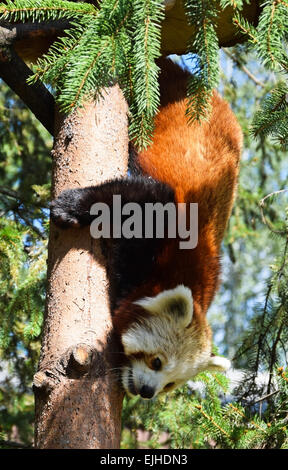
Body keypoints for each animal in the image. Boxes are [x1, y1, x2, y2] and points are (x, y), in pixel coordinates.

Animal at [50, 57, 242, 398]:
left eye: (171, 384)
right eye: (156, 361)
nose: (148, 392)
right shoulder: (167, 218)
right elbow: (131, 196)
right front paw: (72, 206)